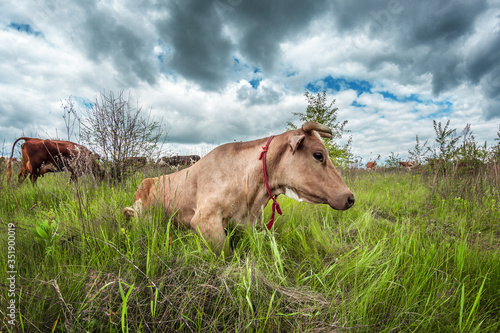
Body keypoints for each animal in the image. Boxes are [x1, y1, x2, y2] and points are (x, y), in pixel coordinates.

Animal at [122, 122, 354, 254]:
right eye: (318, 155)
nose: (350, 198)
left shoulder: (252, 223)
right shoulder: (204, 219)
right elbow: (226, 254)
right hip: (142, 212)